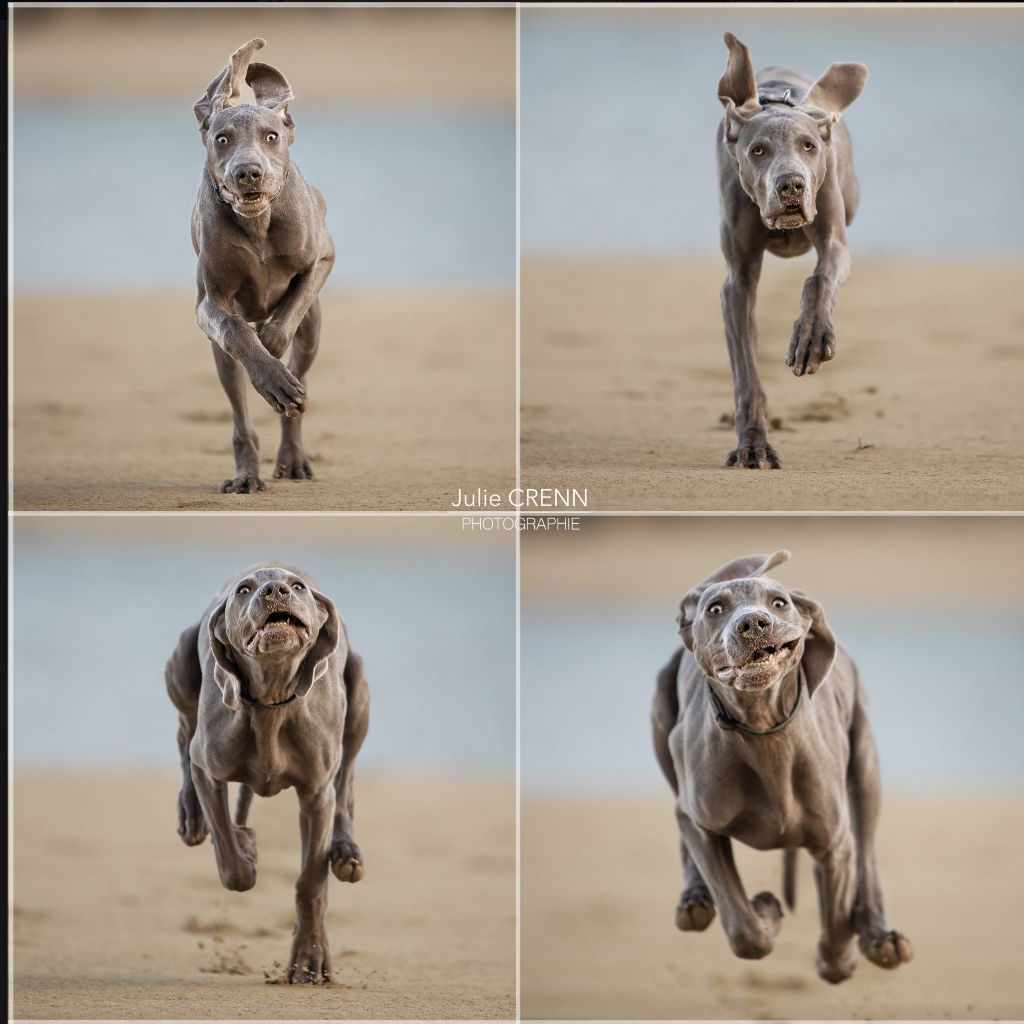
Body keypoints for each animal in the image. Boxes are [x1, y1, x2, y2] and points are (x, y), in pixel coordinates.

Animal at [161, 569, 366, 983]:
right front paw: (246, 847)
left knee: (347, 785)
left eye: (298, 587)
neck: (271, 703)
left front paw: (309, 960)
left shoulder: (316, 794)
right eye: (244, 590)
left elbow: (310, 882)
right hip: (182, 665)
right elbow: (231, 861)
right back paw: (191, 815)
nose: (276, 590)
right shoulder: (208, 768)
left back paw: (346, 853)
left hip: (359, 693)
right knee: (185, 730)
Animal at [192, 41, 335, 497]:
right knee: (240, 411)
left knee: (298, 374)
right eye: (222, 139)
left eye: (271, 137)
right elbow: (234, 329)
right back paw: (247, 475)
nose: (248, 172)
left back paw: (292, 459)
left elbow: (286, 314)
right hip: (220, 359)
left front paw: (273, 356)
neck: (258, 225)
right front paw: (269, 375)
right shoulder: (210, 303)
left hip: (313, 334)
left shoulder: (322, 259)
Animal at [651, 552, 909, 983]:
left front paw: (842, 956)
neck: (762, 731)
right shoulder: (701, 822)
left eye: (779, 603)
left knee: (868, 855)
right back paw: (695, 900)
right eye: (715, 609)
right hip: (662, 724)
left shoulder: (834, 843)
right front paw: (766, 909)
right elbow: (744, 930)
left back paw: (879, 937)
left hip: (864, 764)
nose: (753, 623)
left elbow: (836, 933)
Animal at [716, 33, 868, 468]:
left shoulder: (834, 240)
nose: (791, 186)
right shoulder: (738, 282)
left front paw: (811, 339)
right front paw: (753, 447)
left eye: (809, 146)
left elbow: (819, 279)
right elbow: (747, 373)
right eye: (757, 150)